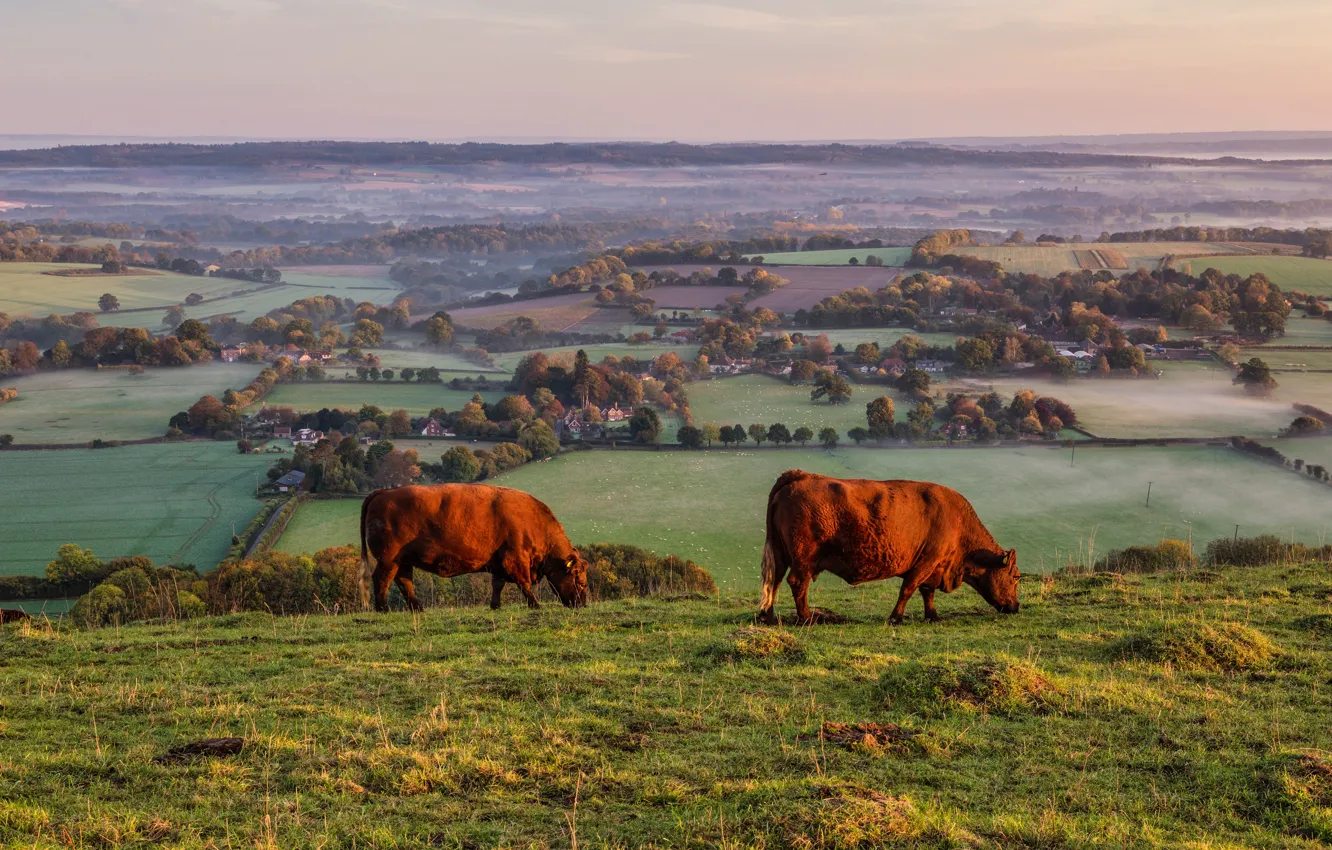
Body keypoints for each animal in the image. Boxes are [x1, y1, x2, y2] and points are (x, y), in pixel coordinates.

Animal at [359, 484, 589, 613]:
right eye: (579, 580)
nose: (582, 604)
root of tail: (383, 492)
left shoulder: (499, 563)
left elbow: (498, 584)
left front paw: (495, 606)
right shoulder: (516, 560)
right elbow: (524, 584)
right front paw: (535, 605)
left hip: (403, 561)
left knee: (404, 582)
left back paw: (418, 609)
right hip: (388, 560)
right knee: (382, 579)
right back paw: (383, 609)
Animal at [757, 470, 1020, 626]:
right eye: (1016, 577)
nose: (1016, 607)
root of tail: (800, 476)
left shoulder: (933, 567)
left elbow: (927, 592)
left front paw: (932, 616)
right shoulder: (926, 561)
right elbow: (908, 589)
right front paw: (896, 618)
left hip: (781, 554)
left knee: (774, 582)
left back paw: (767, 616)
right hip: (803, 559)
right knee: (796, 583)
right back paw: (806, 618)